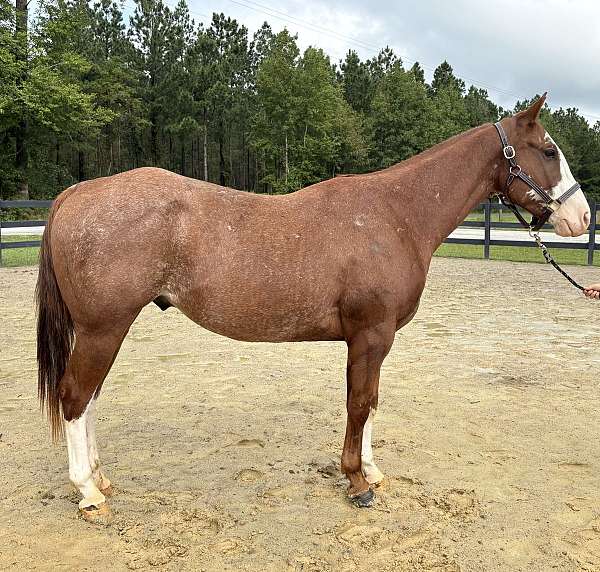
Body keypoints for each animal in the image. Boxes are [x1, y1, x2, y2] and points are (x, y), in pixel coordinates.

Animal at [37, 95, 592, 524]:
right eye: (548, 150)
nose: (582, 217)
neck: (396, 214)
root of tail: (77, 193)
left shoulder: (376, 341)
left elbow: (371, 404)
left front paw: (371, 471)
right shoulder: (370, 336)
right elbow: (358, 404)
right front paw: (356, 483)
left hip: (104, 331)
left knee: (89, 400)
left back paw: (101, 481)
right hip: (102, 329)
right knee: (75, 396)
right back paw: (88, 493)